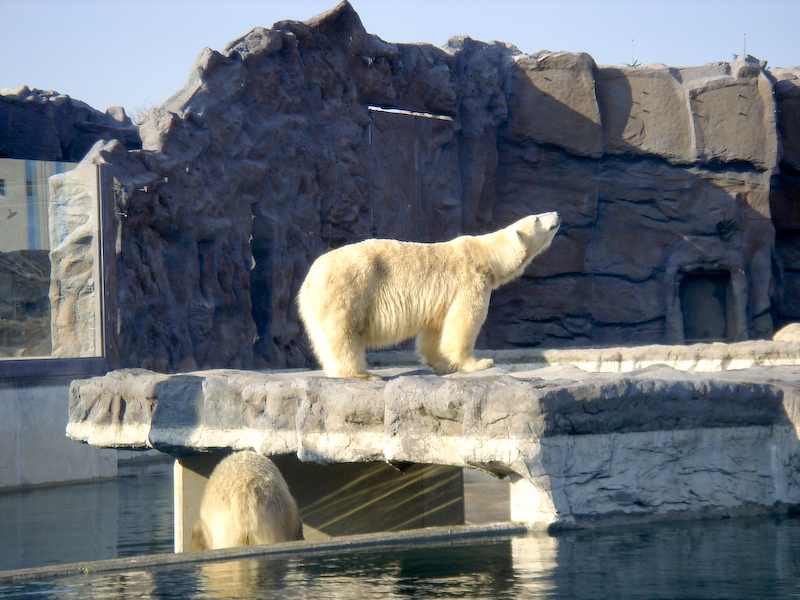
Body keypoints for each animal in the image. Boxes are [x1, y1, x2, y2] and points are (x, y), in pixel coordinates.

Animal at [296, 213, 560, 378]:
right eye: (537, 218)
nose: (556, 214)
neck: (487, 254)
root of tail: (309, 279)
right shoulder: (470, 280)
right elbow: (464, 322)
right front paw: (479, 363)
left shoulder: (441, 297)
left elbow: (434, 330)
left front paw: (444, 365)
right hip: (349, 289)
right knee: (344, 335)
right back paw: (361, 374)